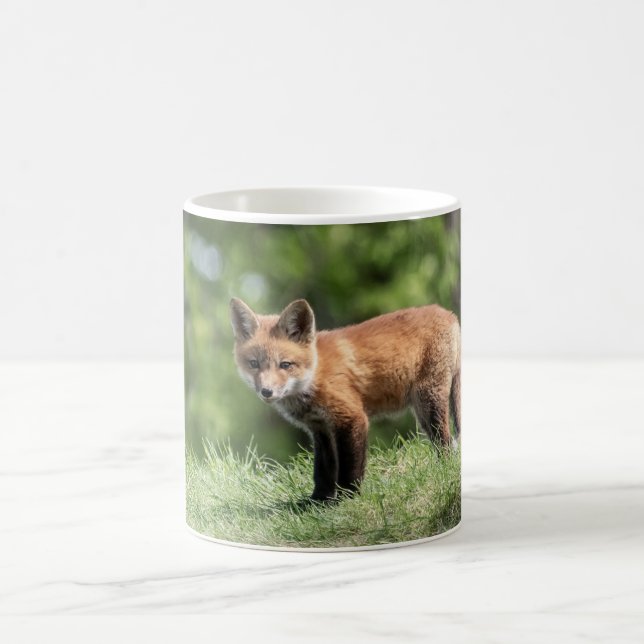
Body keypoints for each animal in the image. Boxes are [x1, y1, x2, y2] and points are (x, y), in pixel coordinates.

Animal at [230, 298, 461, 502]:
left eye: (285, 365)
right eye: (254, 364)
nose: (266, 392)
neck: (315, 375)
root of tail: (447, 313)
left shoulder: (351, 418)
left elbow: (350, 467)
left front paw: (347, 499)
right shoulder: (320, 428)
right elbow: (322, 470)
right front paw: (317, 502)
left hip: (429, 402)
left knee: (447, 443)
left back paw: (443, 472)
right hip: (423, 411)